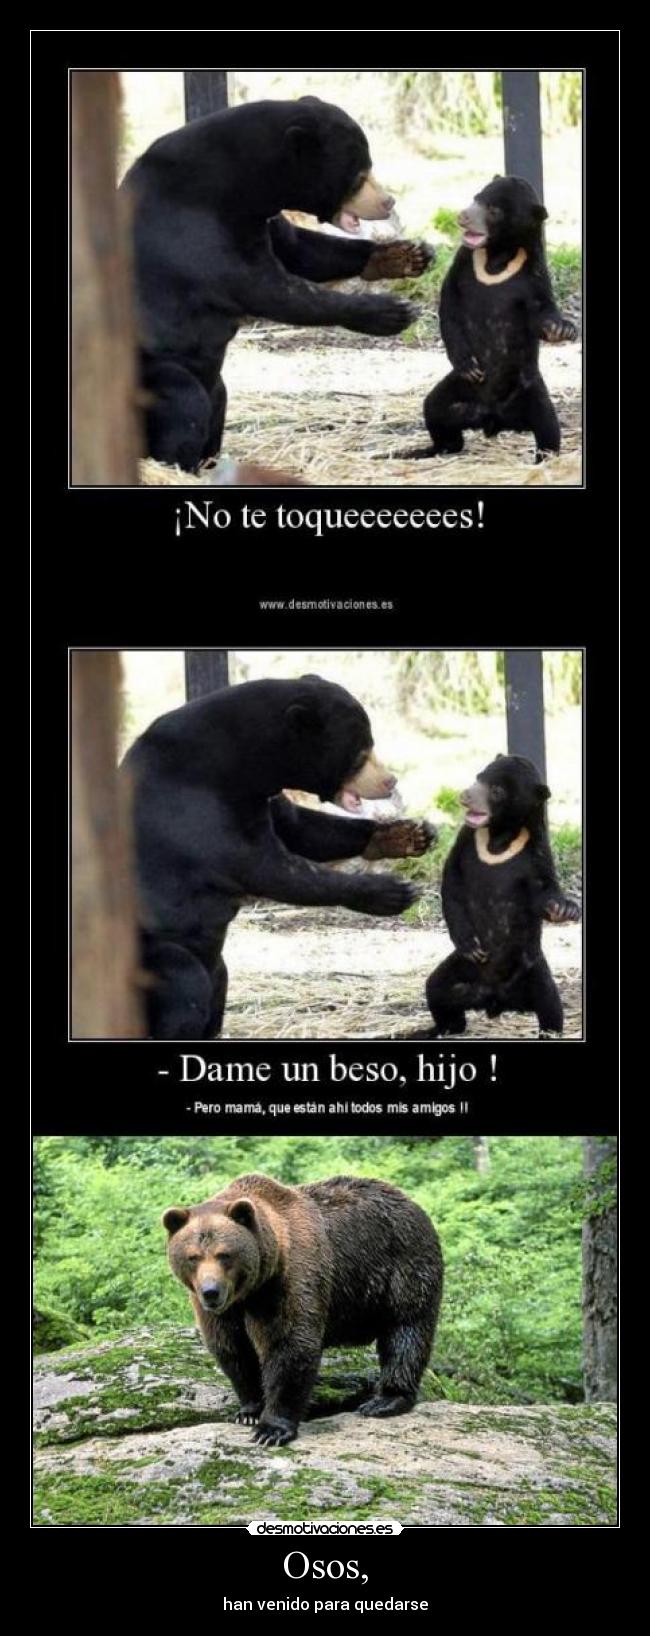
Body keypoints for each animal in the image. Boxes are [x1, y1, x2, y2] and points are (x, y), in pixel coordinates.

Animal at [120, 675, 434, 1040]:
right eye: (360, 754)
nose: (389, 780)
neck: (246, 762)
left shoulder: (264, 797)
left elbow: (302, 828)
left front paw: (410, 835)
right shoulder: (197, 808)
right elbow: (271, 868)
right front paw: (392, 892)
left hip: (217, 967)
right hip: (153, 953)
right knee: (185, 986)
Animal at [121, 96, 433, 471]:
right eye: (359, 174)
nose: (388, 201)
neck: (245, 184)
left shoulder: (262, 219)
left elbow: (300, 249)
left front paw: (409, 255)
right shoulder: (196, 228)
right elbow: (269, 288)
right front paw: (391, 312)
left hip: (213, 382)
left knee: (218, 402)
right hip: (151, 370)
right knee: (184, 403)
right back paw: (177, 465)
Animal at [163, 1172, 444, 1446]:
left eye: (224, 1254)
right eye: (193, 1256)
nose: (211, 1292)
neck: (251, 1290)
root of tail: (409, 1200)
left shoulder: (289, 1280)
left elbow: (290, 1344)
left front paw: (271, 1429)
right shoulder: (224, 1311)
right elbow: (233, 1349)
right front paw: (249, 1411)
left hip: (403, 1265)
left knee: (405, 1330)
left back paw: (384, 1400)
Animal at [404, 175, 577, 463]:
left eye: (494, 210)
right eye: (476, 198)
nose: (463, 216)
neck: (498, 253)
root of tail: (492, 419)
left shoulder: (533, 273)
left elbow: (541, 310)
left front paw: (562, 329)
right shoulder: (465, 260)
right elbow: (450, 303)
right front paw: (467, 363)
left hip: (529, 388)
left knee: (548, 426)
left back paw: (543, 459)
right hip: (460, 389)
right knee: (435, 409)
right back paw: (428, 450)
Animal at [423, 754, 581, 1039]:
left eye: (497, 791)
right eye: (478, 777)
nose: (465, 795)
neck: (499, 836)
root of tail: (496, 1000)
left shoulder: (536, 850)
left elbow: (544, 889)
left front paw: (565, 909)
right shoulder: (467, 838)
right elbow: (452, 881)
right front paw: (469, 942)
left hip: (532, 968)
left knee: (551, 1005)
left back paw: (549, 1032)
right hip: (463, 970)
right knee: (437, 990)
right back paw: (441, 1030)